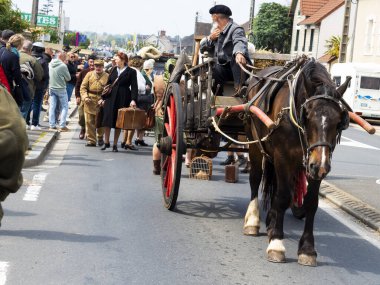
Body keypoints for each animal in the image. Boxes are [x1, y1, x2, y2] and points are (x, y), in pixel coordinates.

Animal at [243, 58, 350, 266]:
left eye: (338, 122)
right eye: (306, 116)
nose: (320, 165)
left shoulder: (313, 164)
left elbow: (311, 202)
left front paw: (307, 249)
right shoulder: (283, 156)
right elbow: (284, 197)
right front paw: (276, 243)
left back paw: (271, 222)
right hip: (255, 145)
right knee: (256, 179)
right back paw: (253, 220)